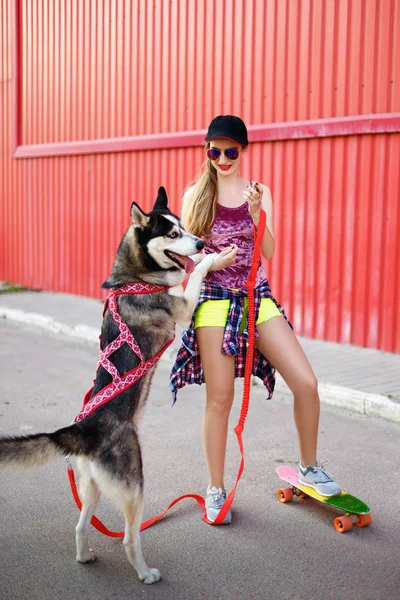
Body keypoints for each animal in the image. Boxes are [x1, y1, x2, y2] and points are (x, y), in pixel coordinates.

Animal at [0, 186, 216, 580]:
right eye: (172, 234)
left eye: (184, 227)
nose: (201, 242)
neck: (135, 276)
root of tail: (82, 430)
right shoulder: (181, 307)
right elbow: (193, 279)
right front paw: (215, 259)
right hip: (134, 485)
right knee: (130, 538)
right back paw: (145, 573)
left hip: (93, 486)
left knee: (81, 525)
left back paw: (85, 556)